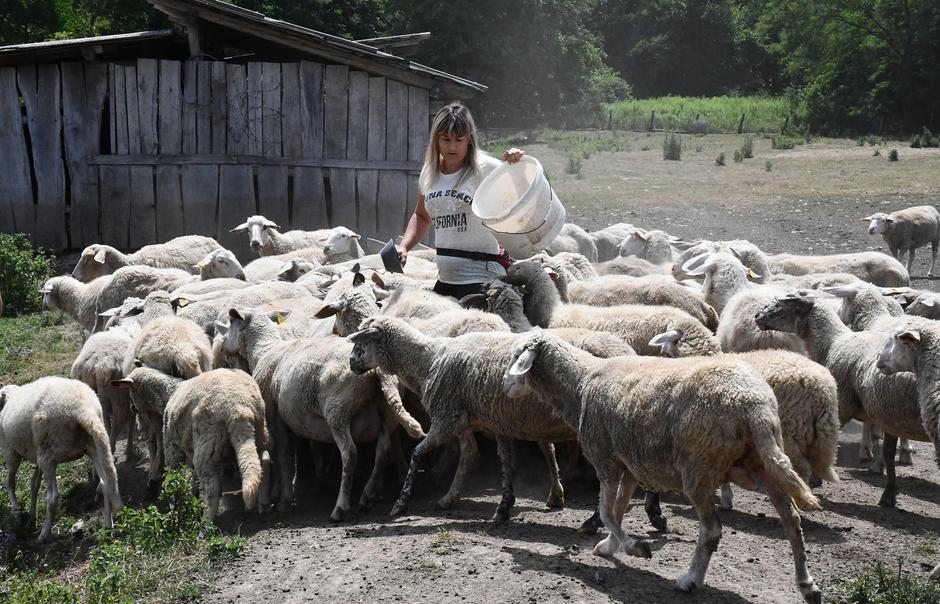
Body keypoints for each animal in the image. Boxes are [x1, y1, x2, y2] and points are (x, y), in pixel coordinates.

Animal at [0, 378, 121, 544]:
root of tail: (83, 409)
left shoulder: (11, 451)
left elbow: (10, 483)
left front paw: (18, 511)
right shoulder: (37, 457)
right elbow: (34, 484)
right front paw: (31, 516)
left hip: (49, 453)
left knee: (53, 498)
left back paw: (44, 535)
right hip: (91, 446)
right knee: (105, 483)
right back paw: (108, 525)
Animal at [220, 310, 422, 520]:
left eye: (231, 321)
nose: (222, 346)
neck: (264, 350)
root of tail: (376, 370)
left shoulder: (274, 416)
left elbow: (283, 456)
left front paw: (284, 500)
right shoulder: (289, 420)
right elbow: (289, 457)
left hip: (338, 411)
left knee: (350, 454)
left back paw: (340, 507)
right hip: (388, 413)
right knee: (383, 449)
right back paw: (366, 496)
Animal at [504, 332, 820, 600]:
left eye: (517, 356)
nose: (506, 384)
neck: (581, 384)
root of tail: (755, 405)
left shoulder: (605, 459)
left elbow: (606, 512)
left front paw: (635, 547)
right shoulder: (629, 464)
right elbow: (618, 510)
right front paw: (609, 546)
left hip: (698, 468)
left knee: (712, 530)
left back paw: (690, 580)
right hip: (764, 462)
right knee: (792, 521)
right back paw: (807, 586)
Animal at [752, 294, 936, 508]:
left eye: (784, 305)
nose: (757, 316)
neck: (832, 342)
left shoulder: (842, 405)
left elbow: (825, 444)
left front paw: (815, 479)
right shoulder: (890, 412)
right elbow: (888, 453)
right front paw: (889, 493)